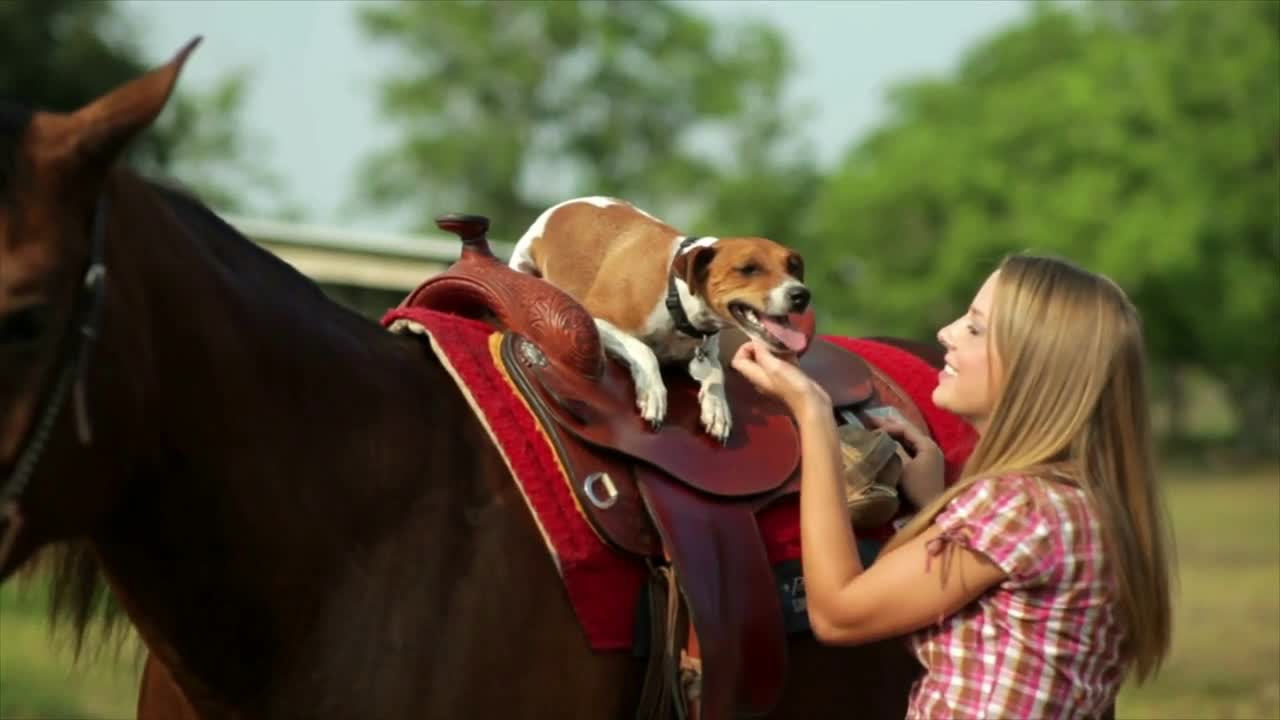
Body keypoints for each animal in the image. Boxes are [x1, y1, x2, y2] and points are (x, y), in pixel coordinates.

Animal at [509, 194, 808, 438]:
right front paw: (652, 390)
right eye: (748, 268)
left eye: (793, 267)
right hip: (522, 261)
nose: (802, 295)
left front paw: (717, 406)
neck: (675, 296)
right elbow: (643, 350)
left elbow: (716, 374)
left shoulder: (706, 353)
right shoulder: (595, 318)